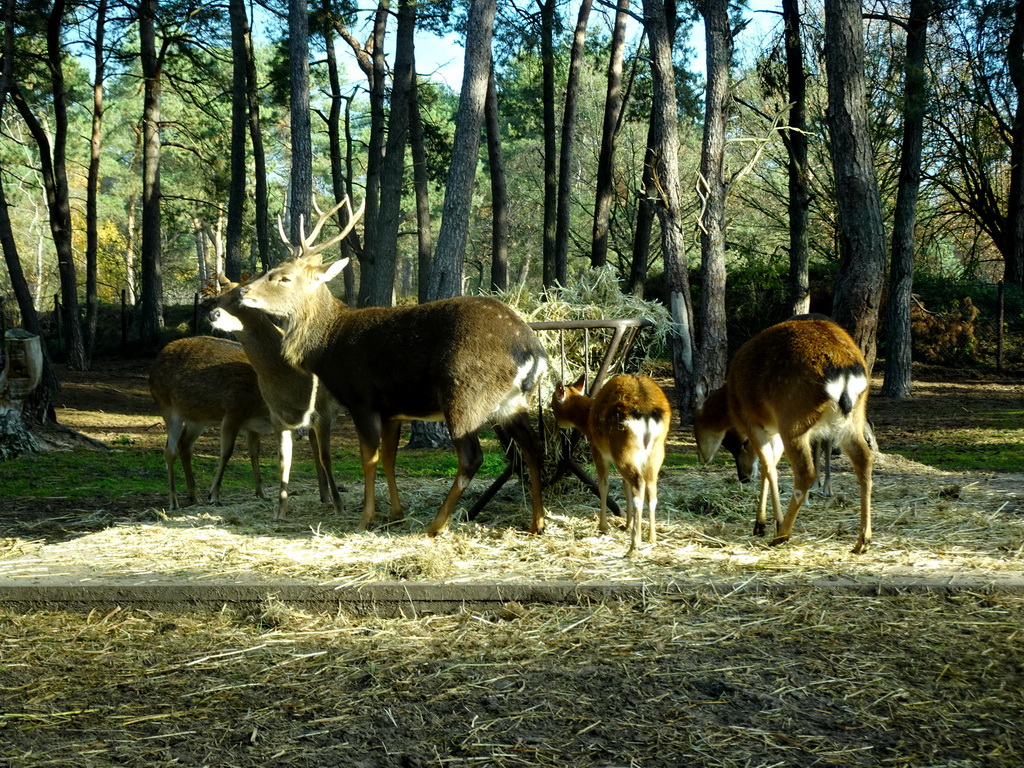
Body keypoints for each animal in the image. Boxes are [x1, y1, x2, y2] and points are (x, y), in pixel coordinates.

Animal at [149, 335, 272, 512]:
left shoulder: (253, 426)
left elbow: (254, 453)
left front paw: (262, 493)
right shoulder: (234, 412)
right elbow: (226, 452)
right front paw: (214, 496)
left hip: (197, 420)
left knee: (184, 445)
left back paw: (194, 497)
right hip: (167, 407)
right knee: (169, 451)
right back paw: (174, 501)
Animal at [207, 280, 348, 528]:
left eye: (240, 299)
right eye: (217, 299)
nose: (213, 314)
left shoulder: (323, 413)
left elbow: (327, 457)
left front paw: (340, 507)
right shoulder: (278, 418)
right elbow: (283, 461)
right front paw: (279, 511)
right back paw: (324, 496)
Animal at [237, 198, 552, 536]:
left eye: (283, 277)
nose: (243, 292)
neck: (329, 346)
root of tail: (532, 351)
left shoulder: (362, 398)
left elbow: (369, 459)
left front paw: (366, 518)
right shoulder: (392, 409)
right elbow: (389, 458)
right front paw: (395, 513)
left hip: (464, 394)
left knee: (472, 456)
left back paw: (437, 524)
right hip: (514, 403)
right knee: (533, 447)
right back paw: (537, 522)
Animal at [552, 372, 671, 552]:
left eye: (553, 404)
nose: (557, 422)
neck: (586, 422)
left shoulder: (598, 450)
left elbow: (603, 485)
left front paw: (603, 526)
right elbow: (624, 486)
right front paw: (627, 524)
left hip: (623, 448)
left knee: (638, 484)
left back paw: (634, 545)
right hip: (655, 452)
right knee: (650, 489)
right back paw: (651, 537)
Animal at [688, 317, 872, 552]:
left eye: (696, 422)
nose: (702, 456)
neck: (730, 401)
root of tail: (846, 374)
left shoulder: (753, 422)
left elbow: (768, 466)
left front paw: (769, 523)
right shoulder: (773, 428)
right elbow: (770, 467)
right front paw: (761, 524)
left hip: (794, 420)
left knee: (805, 471)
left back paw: (783, 534)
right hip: (853, 418)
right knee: (864, 458)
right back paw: (863, 540)